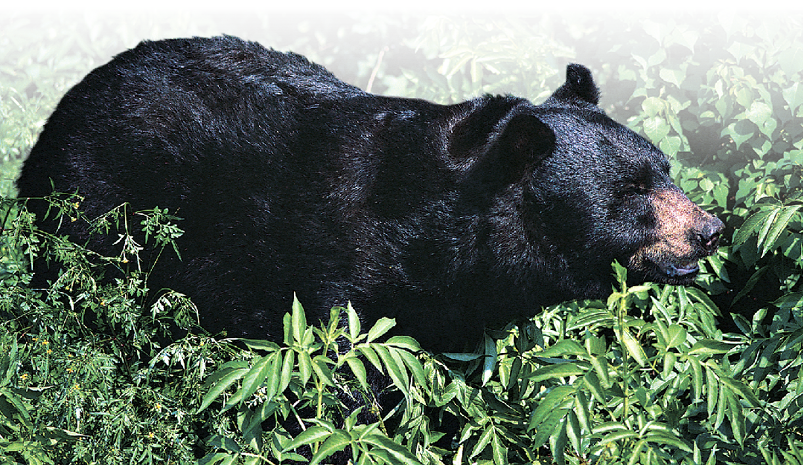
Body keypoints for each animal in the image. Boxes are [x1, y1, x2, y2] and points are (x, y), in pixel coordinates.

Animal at [16, 35, 724, 353]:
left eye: (667, 169)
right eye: (633, 193)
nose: (709, 229)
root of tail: (60, 111)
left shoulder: (456, 307)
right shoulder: (334, 267)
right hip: (89, 211)